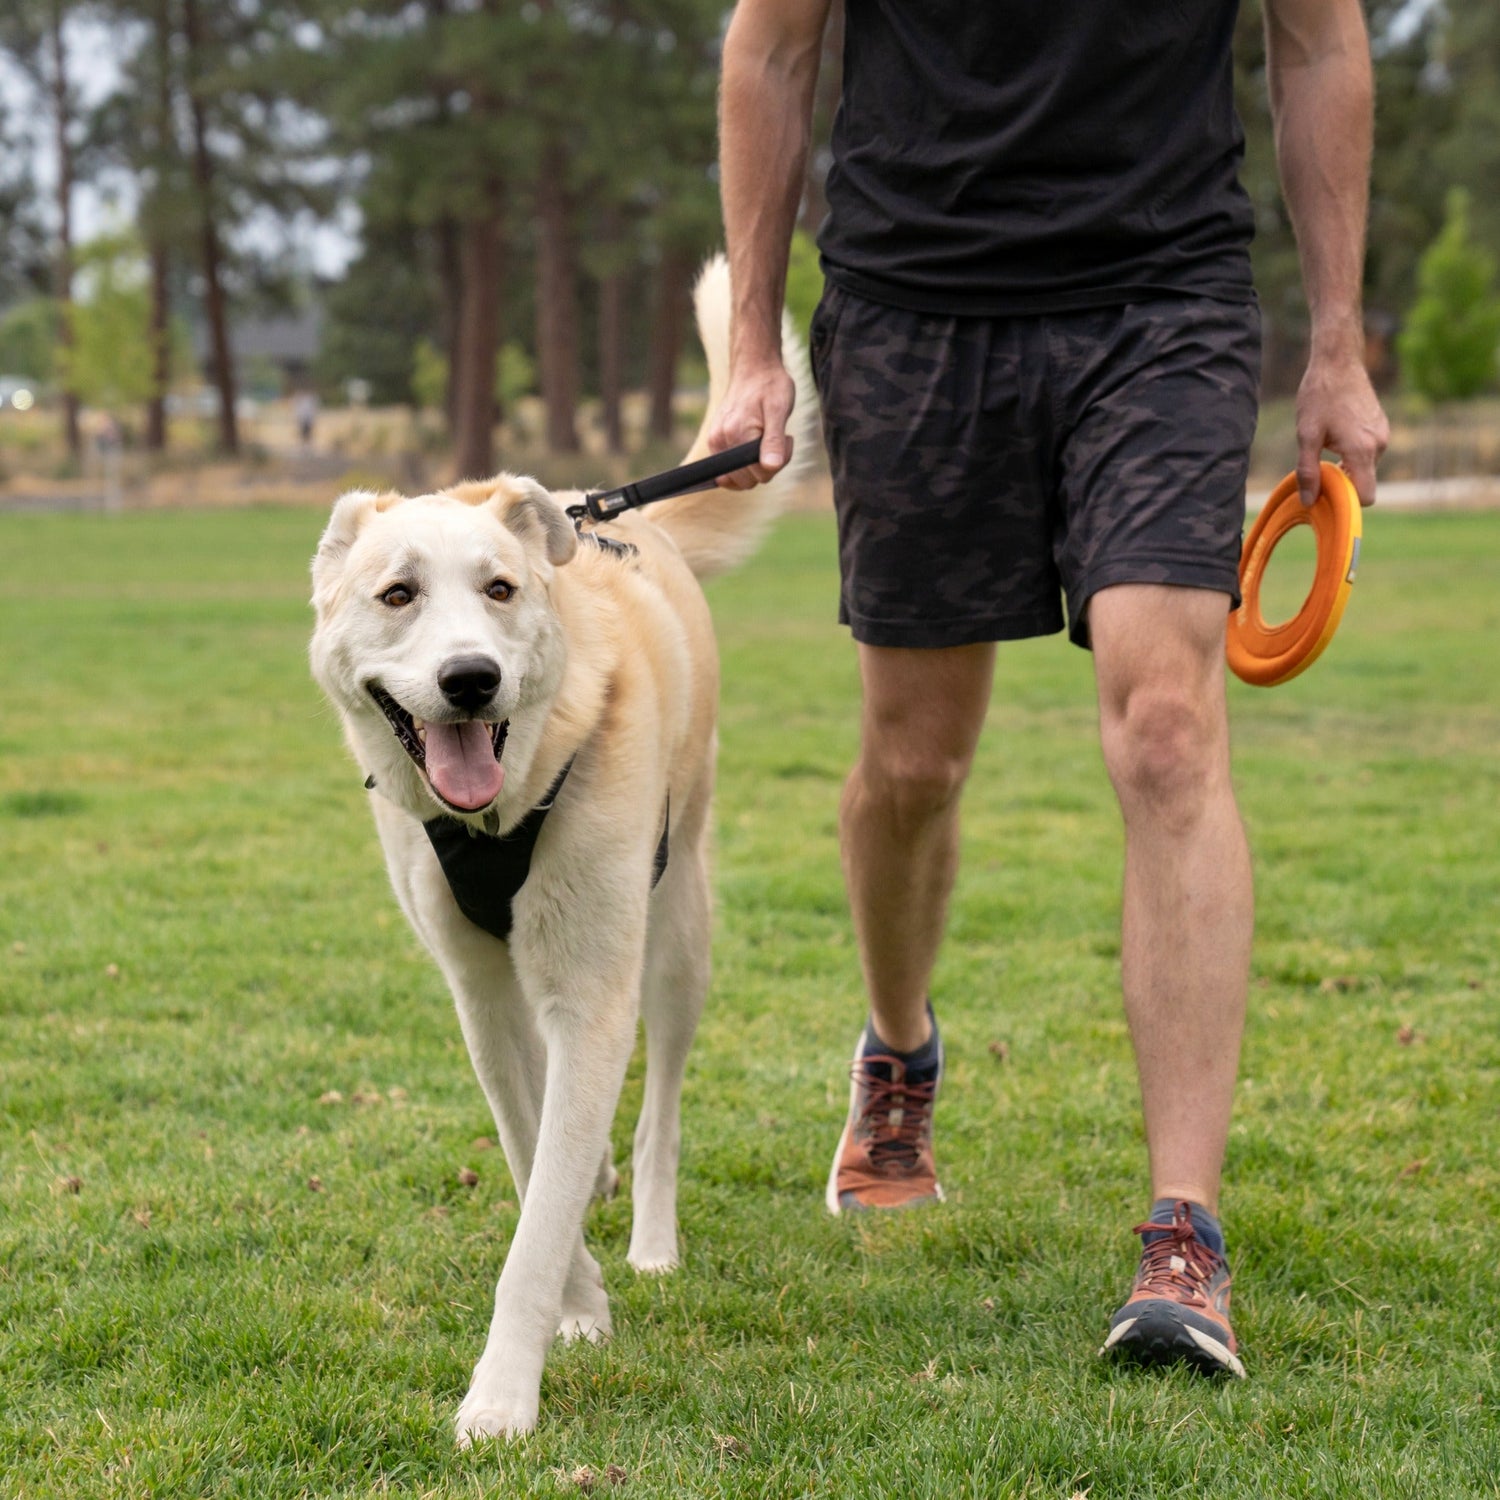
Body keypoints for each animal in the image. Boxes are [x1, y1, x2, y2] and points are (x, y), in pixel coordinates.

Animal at [307, 258, 822, 1440]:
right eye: (397, 593)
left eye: (499, 588)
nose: (470, 681)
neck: (505, 808)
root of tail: (623, 521)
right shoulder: (480, 992)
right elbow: (527, 1141)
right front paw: (579, 1302)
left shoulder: (591, 988)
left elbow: (537, 1217)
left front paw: (503, 1394)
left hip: (677, 933)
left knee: (662, 1106)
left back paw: (650, 1233)